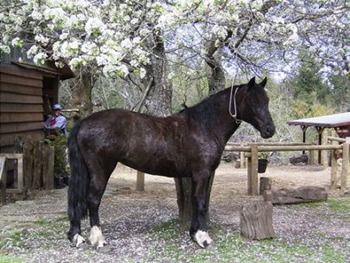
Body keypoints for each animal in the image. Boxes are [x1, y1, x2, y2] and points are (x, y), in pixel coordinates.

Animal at [67, 77, 274, 250]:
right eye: (253, 101)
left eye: (267, 100)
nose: (270, 130)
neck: (204, 126)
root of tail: (84, 122)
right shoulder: (202, 173)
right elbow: (201, 202)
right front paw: (203, 238)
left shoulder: (197, 175)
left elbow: (196, 201)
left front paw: (194, 234)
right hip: (102, 170)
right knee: (93, 199)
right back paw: (98, 240)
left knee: (79, 200)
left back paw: (76, 237)